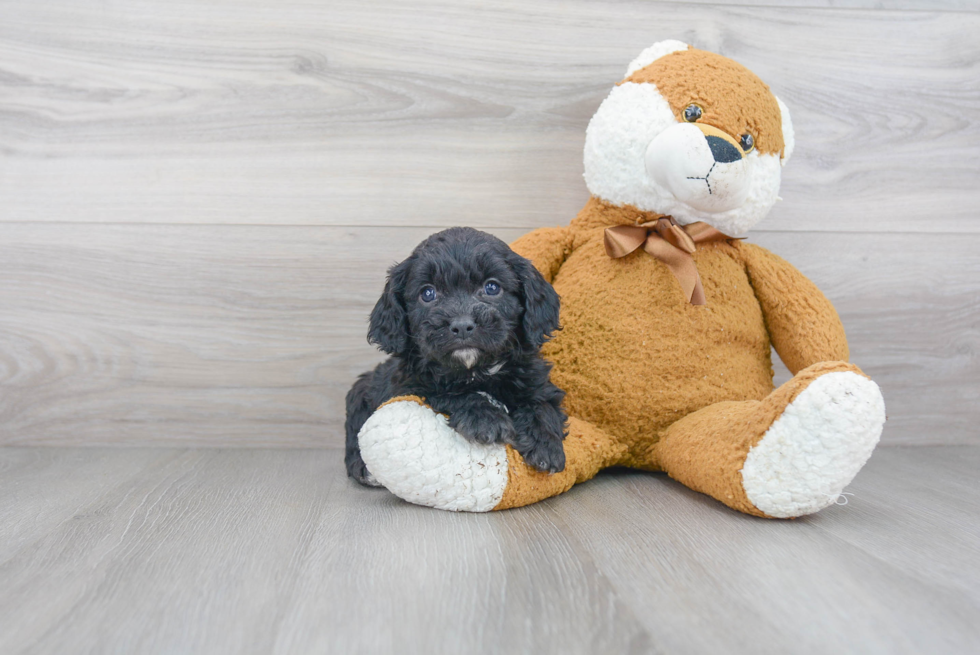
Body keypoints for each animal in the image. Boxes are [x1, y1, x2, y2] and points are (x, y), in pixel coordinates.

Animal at [348, 228, 572, 484]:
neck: (475, 371)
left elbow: (542, 404)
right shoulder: (409, 387)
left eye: (492, 287)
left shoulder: (536, 381)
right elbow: (448, 394)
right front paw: (485, 418)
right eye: (428, 293)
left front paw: (545, 443)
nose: (462, 325)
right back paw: (362, 468)